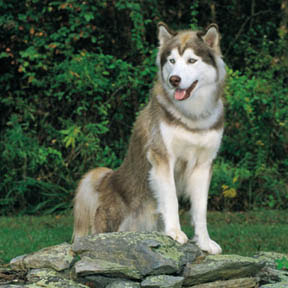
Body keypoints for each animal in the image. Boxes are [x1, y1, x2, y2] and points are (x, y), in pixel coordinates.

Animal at [73, 22, 226, 254]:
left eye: (191, 60)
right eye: (172, 61)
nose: (174, 80)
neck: (191, 117)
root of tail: (107, 179)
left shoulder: (203, 164)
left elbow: (201, 210)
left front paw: (204, 242)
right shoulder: (162, 157)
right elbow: (171, 199)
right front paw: (174, 232)